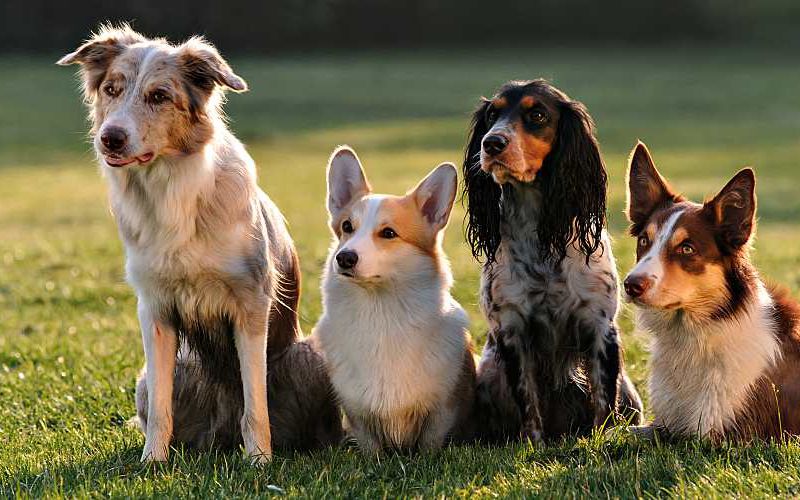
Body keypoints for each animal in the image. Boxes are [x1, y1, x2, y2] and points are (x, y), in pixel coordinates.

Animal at [58, 23, 340, 460]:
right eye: (111, 89)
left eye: (159, 96)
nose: (110, 139)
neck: (170, 190)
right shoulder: (155, 309)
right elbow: (161, 408)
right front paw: (152, 462)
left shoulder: (251, 304)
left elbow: (254, 402)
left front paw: (259, 461)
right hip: (156, 376)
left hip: (308, 356)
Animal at [316, 146, 478, 454]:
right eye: (347, 227)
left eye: (388, 233)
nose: (344, 258)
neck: (381, 313)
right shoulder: (358, 414)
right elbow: (371, 447)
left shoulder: (442, 409)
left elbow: (430, 443)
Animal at [462, 79, 644, 442]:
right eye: (492, 115)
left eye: (537, 115)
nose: (492, 143)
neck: (540, 237)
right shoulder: (512, 329)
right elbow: (528, 400)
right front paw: (533, 445)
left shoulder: (599, 326)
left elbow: (603, 400)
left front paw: (599, 441)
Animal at [624, 142, 800, 442]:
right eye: (645, 241)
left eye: (687, 248)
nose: (630, 285)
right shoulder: (667, 423)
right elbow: (615, 431)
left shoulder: (724, 436)